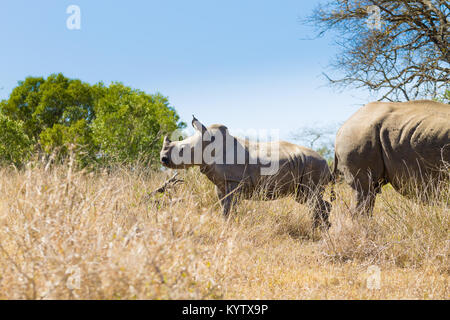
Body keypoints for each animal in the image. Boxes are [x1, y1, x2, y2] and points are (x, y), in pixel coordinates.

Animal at [160, 116, 332, 229]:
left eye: (182, 150)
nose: (162, 158)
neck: (209, 145)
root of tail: (327, 162)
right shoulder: (222, 183)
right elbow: (224, 207)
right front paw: (227, 224)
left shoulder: (234, 181)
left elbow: (229, 207)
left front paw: (228, 227)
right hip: (304, 166)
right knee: (306, 198)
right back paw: (322, 228)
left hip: (315, 165)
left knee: (311, 197)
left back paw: (317, 229)